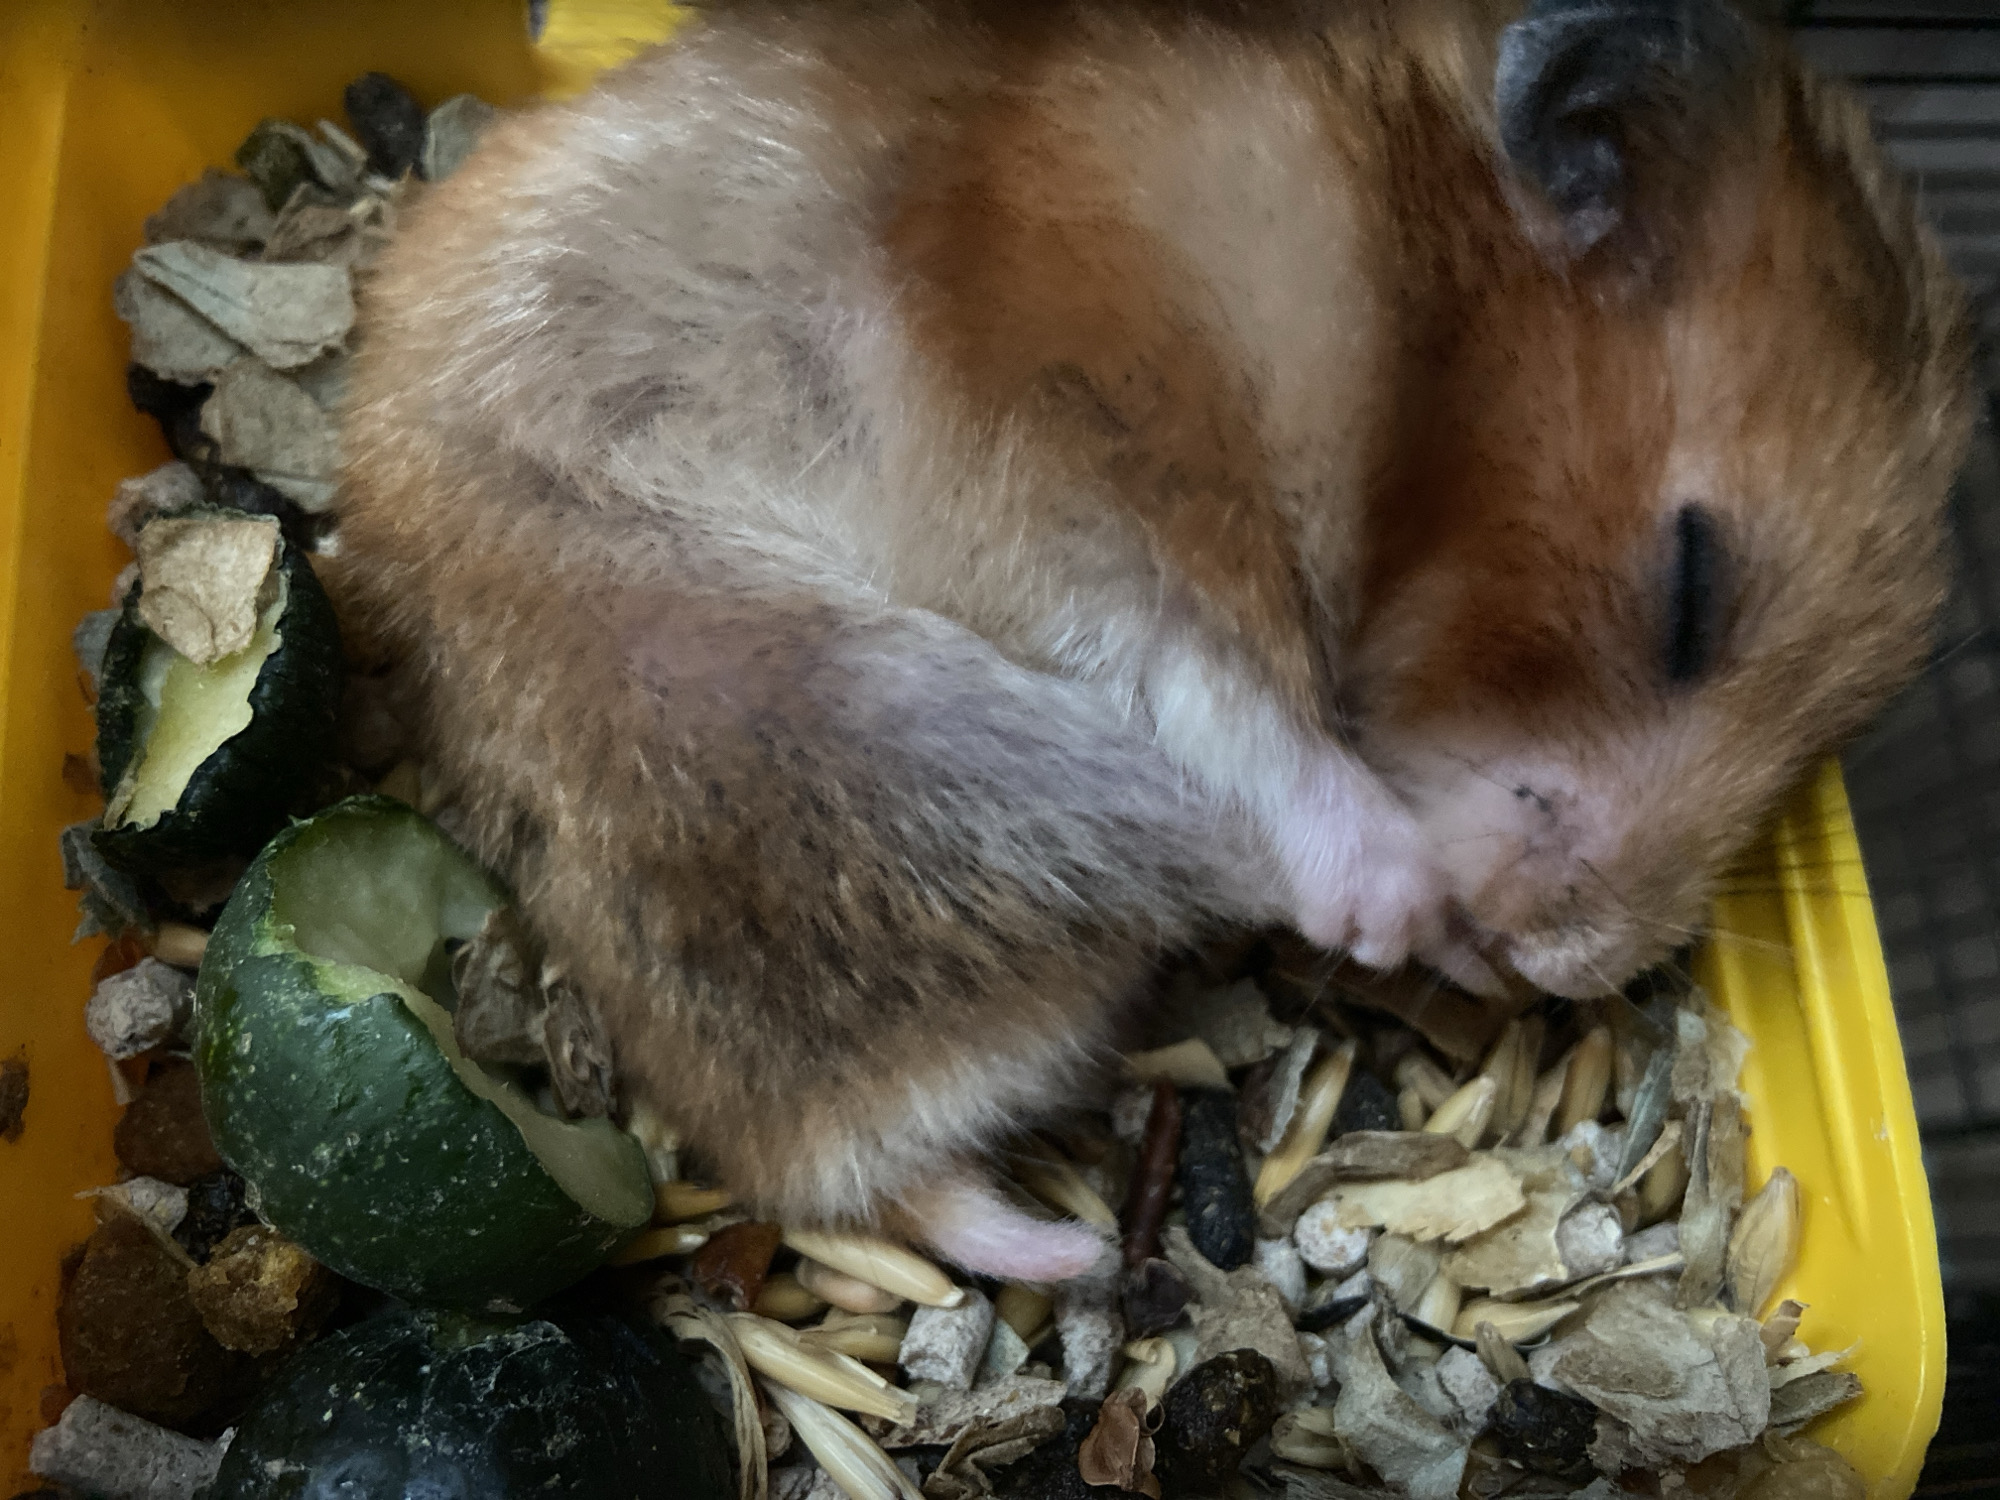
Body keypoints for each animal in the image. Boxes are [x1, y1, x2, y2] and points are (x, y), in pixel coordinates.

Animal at [332, 0, 1970, 1279]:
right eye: (1691, 586)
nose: (1559, 970)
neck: (1397, 326)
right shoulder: (1076, 465)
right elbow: (1210, 680)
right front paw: (1404, 896)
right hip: (836, 715)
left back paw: (1060, 1242)